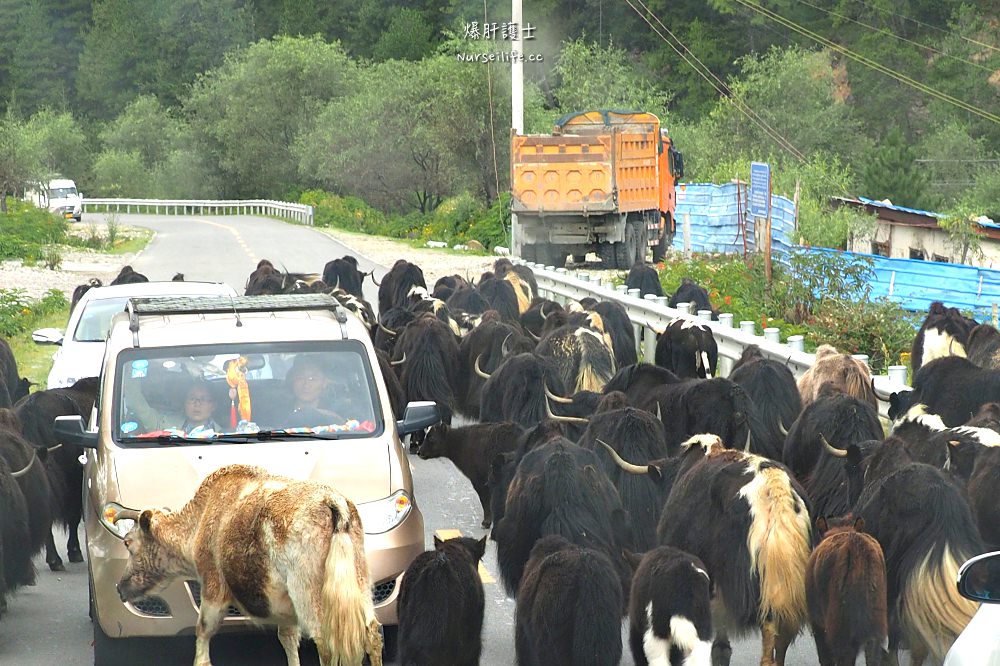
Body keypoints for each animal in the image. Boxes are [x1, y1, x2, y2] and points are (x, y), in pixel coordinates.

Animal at [114, 464, 382, 664]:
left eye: (128, 542)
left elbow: (203, 631)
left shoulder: (213, 586)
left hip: (309, 592)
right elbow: (287, 639)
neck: (201, 520)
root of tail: (333, 503)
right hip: (358, 582)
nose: (120, 587)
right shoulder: (285, 610)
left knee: (326, 642)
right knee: (371, 634)